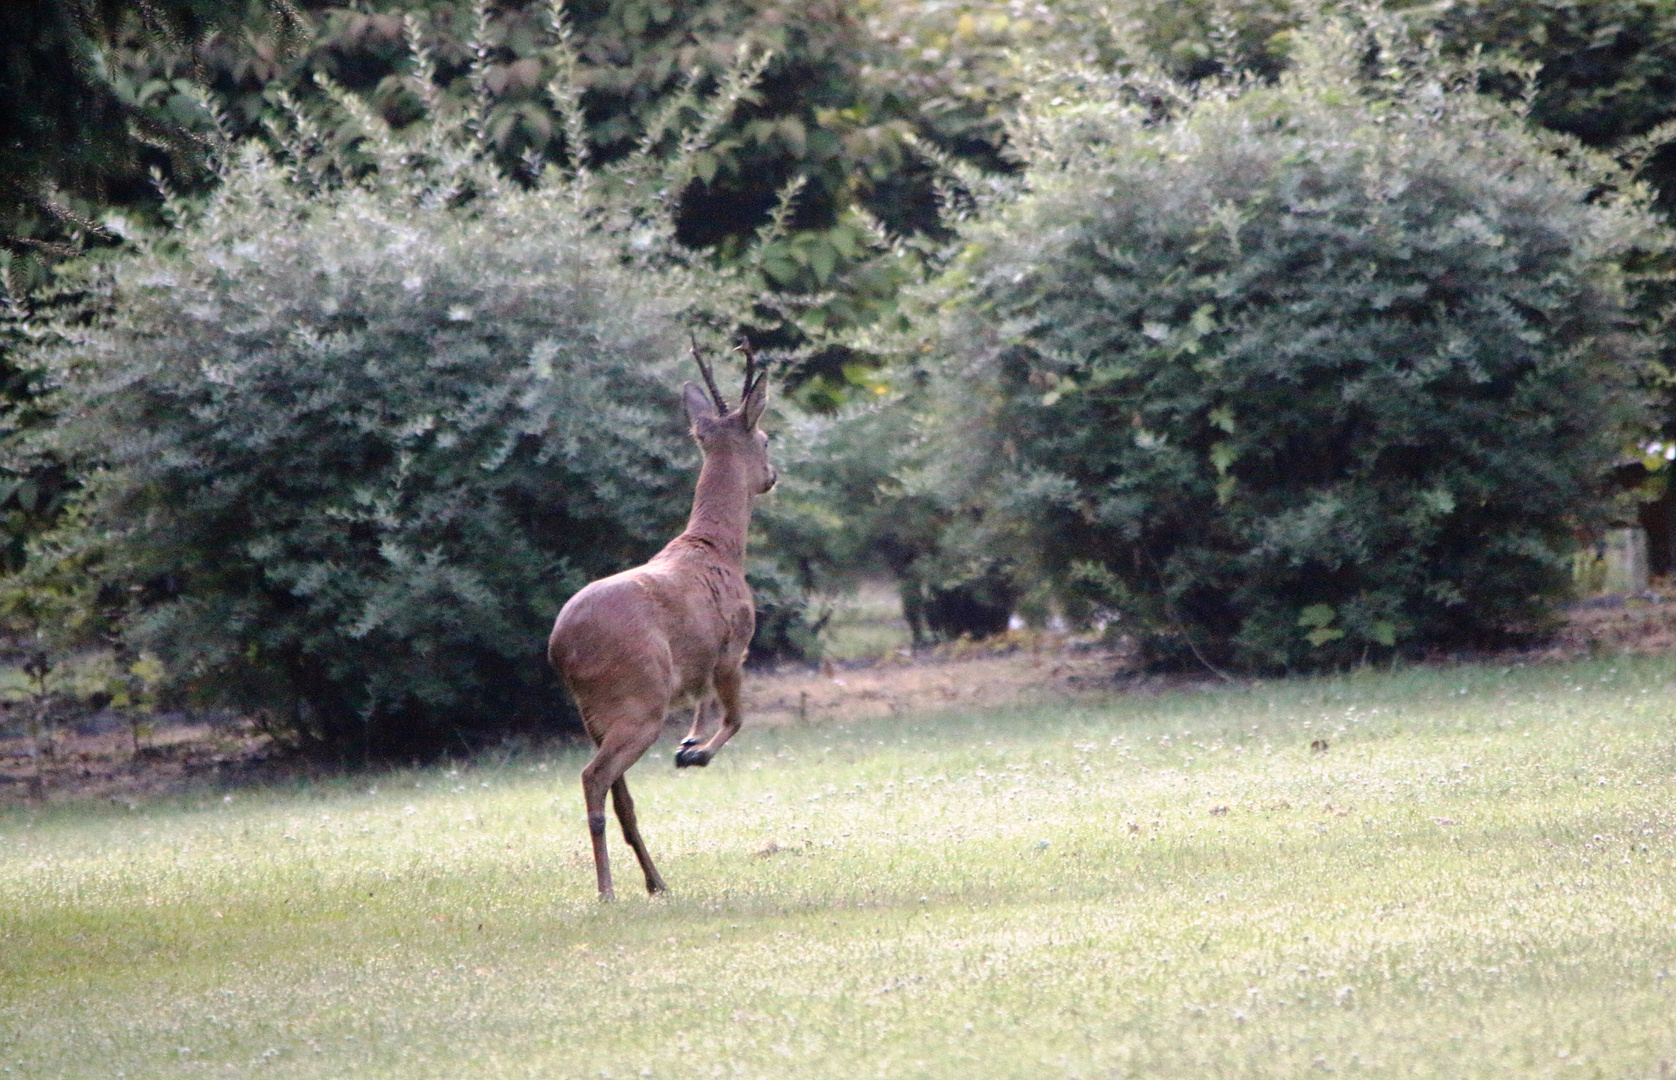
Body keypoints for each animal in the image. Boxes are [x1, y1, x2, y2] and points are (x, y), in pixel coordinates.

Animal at [553, 333, 781, 898]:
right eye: (766, 439)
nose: (773, 475)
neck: (719, 549)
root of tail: (558, 648)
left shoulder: (701, 661)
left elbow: (703, 704)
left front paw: (691, 741)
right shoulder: (734, 646)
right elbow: (738, 716)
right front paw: (695, 754)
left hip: (595, 712)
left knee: (620, 795)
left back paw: (656, 881)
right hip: (638, 697)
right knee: (594, 778)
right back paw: (607, 889)